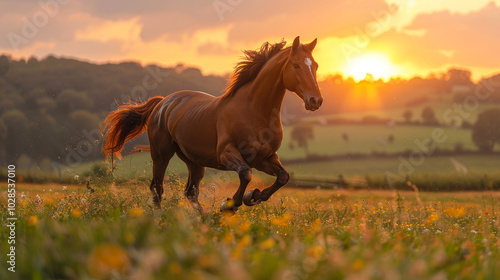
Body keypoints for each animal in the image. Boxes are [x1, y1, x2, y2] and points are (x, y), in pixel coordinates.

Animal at [101, 36, 324, 212]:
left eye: (315, 65)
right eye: (296, 65)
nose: (316, 101)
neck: (254, 111)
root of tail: (163, 102)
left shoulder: (264, 158)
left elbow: (283, 177)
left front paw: (253, 196)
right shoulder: (227, 153)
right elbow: (246, 174)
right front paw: (231, 204)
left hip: (194, 161)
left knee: (190, 193)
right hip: (161, 154)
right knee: (158, 189)